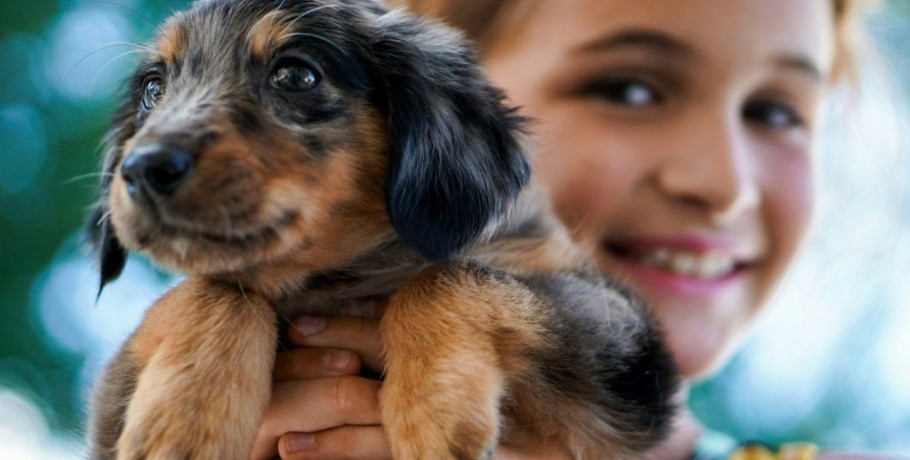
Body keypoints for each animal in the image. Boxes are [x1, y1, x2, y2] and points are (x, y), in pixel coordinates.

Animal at [89, 1, 680, 458]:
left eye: (296, 75)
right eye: (153, 88)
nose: (142, 168)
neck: (343, 274)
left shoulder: (623, 355)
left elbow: (449, 277)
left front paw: (435, 410)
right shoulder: (109, 406)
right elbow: (213, 288)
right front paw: (184, 419)